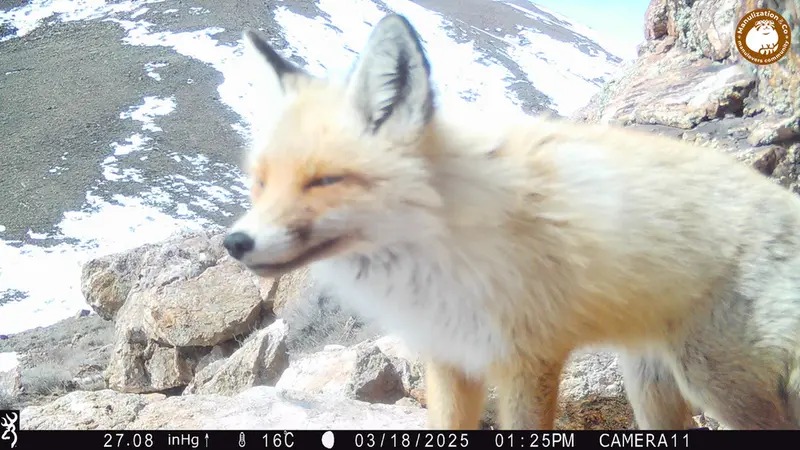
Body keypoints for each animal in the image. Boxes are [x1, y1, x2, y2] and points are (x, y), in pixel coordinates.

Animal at [222, 13, 800, 430]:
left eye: (324, 181)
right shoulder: (449, 356)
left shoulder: (530, 360)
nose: (235, 242)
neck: (440, 253)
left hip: (714, 381)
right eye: (260, 183)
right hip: (651, 382)